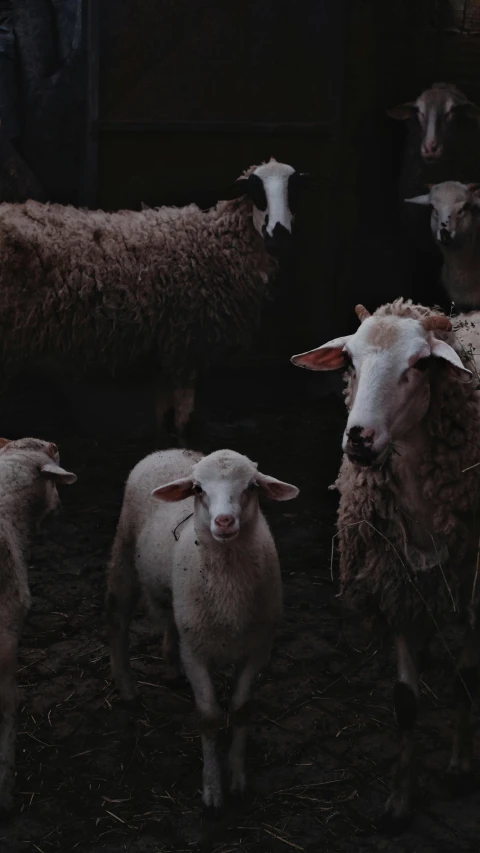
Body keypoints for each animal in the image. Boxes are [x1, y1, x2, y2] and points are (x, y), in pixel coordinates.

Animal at [107, 446, 298, 812]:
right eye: (198, 489)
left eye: (252, 486)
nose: (224, 522)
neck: (229, 595)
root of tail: (169, 451)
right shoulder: (196, 653)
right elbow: (209, 717)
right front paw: (212, 791)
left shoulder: (257, 648)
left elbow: (240, 710)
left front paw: (237, 781)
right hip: (123, 557)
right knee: (119, 624)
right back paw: (128, 688)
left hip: (177, 599)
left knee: (170, 623)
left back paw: (171, 668)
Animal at [288, 298, 480, 824]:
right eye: (349, 361)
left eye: (420, 364)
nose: (359, 437)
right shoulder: (396, 580)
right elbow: (405, 701)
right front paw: (399, 799)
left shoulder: (474, 584)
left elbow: (464, 681)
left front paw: (459, 766)